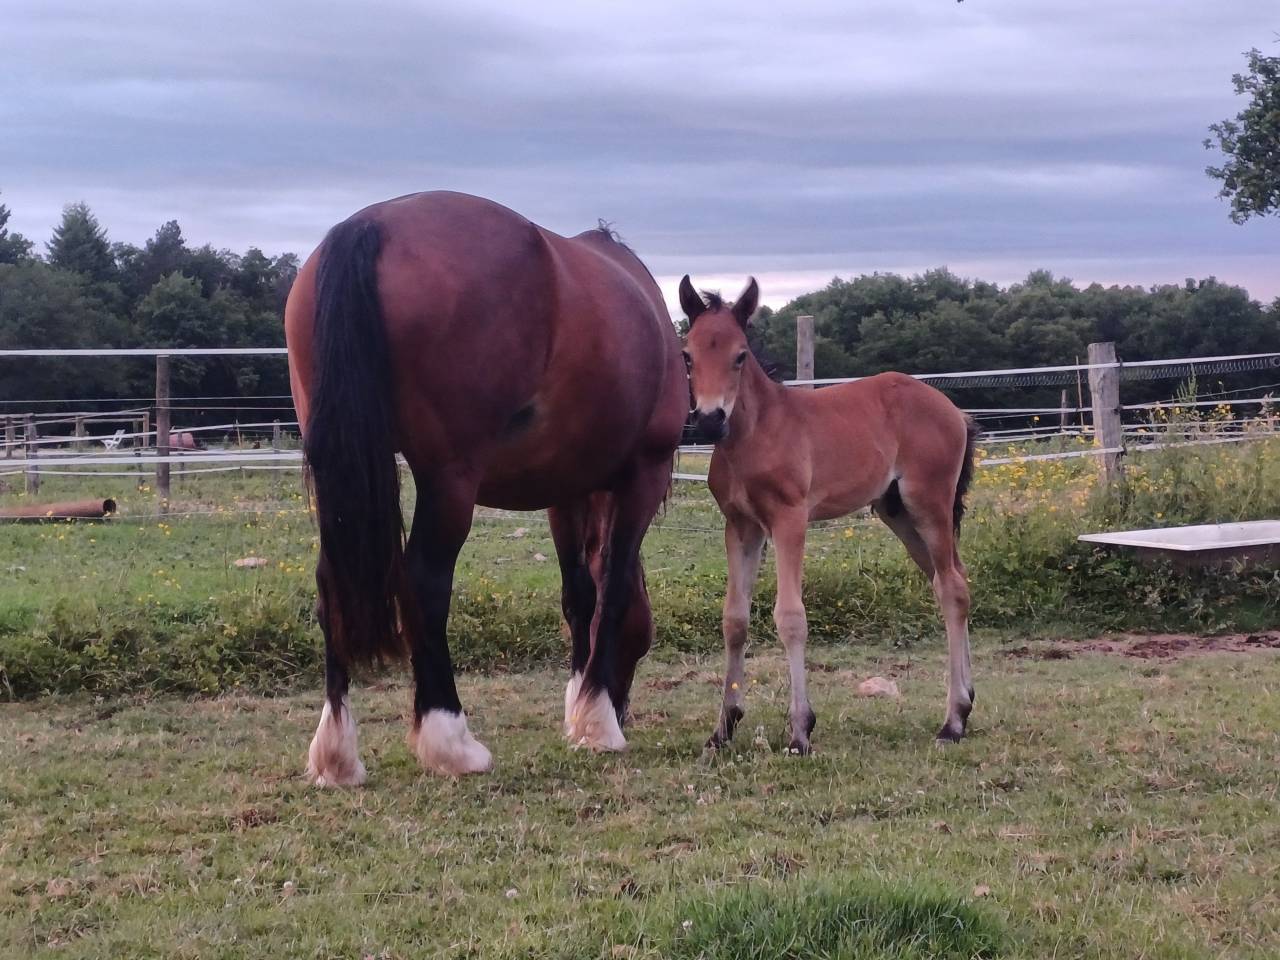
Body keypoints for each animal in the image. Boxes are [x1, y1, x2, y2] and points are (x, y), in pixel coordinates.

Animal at [284, 191, 687, 785]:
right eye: (645, 638)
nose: (626, 707)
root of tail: (368, 226)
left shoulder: (566, 490)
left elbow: (578, 596)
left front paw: (577, 709)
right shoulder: (644, 472)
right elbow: (612, 589)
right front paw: (597, 723)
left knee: (330, 583)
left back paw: (337, 753)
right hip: (450, 478)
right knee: (425, 583)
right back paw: (452, 742)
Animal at [679, 276, 980, 753]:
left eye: (740, 355)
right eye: (687, 355)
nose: (710, 421)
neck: (755, 433)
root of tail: (954, 410)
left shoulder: (789, 520)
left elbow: (790, 617)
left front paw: (801, 730)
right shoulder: (741, 526)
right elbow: (734, 619)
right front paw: (723, 728)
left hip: (929, 504)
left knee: (952, 589)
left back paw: (951, 721)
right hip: (897, 513)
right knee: (950, 579)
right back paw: (965, 706)